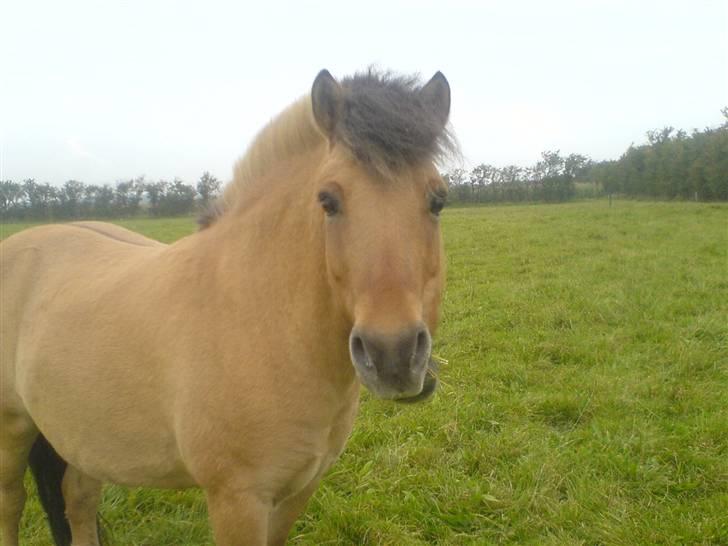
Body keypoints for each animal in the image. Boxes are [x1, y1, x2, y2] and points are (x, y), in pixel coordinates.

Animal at [0, 68, 456, 544]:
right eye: (328, 200)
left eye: (438, 199)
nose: (393, 355)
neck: (264, 323)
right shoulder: (237, 499)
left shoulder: (298, 490)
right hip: (12, 428)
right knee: (11, 502)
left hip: (83, 436)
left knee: (78, 500)